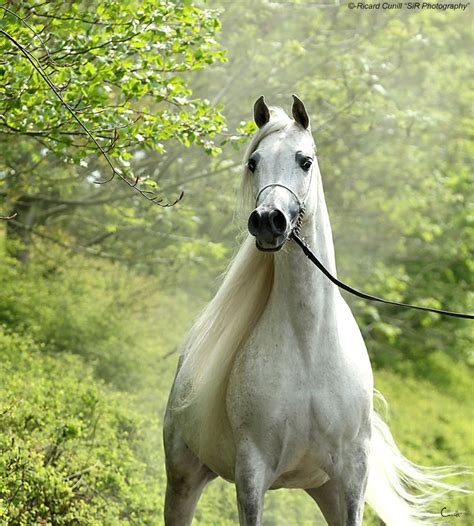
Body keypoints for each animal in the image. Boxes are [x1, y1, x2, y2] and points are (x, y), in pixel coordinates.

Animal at [165, 96, 464, 526]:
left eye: (304, 161)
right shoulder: (252, 474)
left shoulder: (350, 480)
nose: (267, 221)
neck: (309, 345)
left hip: (323, 490)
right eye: (253, 162)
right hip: (183, 477)